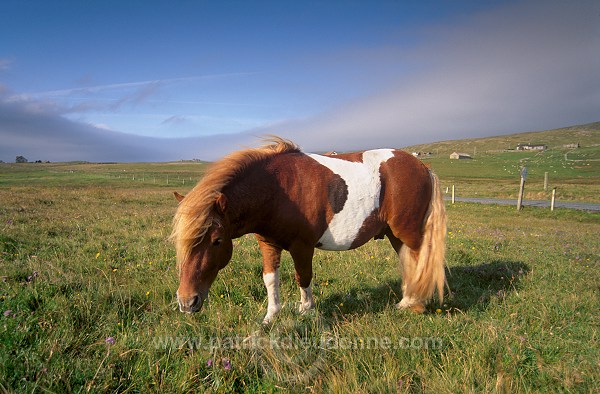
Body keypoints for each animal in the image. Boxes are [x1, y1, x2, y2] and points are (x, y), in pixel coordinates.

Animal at [170, 139, 446, 324]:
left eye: (216, 241)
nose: (187, 302)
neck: (277, 189)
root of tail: (422, 166)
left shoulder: (302, 246)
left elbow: (303, 277)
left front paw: (306, 310)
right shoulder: (268, 244)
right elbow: (270, 279)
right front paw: (271, 317)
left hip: (408, 233)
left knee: (419, 263)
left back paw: (416, 305)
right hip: (395, 234)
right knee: (409, 262)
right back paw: (406, 302)